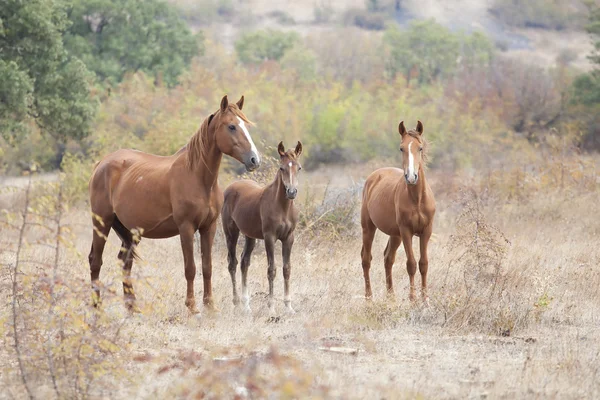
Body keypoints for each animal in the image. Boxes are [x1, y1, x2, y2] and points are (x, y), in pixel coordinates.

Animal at [87, 94, 260, 312]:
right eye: (231, 126)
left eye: (246, 125)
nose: (254, 160)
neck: (197, 177)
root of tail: (101, 164)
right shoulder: (186, 228)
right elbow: (190, 268)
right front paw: (192, 307)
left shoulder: (208, 228)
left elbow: (207, 267)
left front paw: (210, 306)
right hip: (102, 222)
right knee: (95, 260)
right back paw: (97, 307)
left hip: (131, 231)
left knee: (125, 262)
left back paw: (132, 307)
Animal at [220, 142, 302, 314]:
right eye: (281, 168)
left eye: (299, 168)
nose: (291, 192)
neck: (282, 207)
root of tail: (231, 186)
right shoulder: (269, 237)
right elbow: (272, 270)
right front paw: (271, 308)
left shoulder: (288, 238)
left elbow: (287, 269)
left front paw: (289, 307)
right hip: (231, 233)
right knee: (232, 263)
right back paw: (236, 303)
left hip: (249, 236)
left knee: (244, 262)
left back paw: (246, 305)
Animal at [358, 120, 438, 302]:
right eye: (401, 148)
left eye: (420, 147)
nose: (411, 177)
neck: (417, 200)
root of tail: (374, 177)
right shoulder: (406, 231)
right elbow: (411, 264)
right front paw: (413, 299)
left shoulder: (426, 231)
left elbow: (423, 263)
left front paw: (425, 299)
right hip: (368, 228)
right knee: (366, 259)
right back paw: (369, 297)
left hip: (395, 235)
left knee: (388, 258)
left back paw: (391, 296)